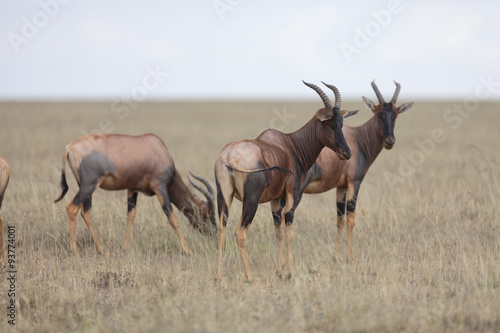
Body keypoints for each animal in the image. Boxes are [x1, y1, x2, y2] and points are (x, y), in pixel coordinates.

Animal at [54, 132, 215, 254]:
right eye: (207, 214)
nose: (212, 234)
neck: (158, 149)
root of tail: (70, 148)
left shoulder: (132, 189)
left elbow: (130, 215)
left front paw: (125, 248)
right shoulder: (160, 187)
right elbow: (172, 217)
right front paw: (188, 250)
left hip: (85, 187)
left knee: (86, 212)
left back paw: (101, 250)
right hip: (89, 185)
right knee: (72, 208)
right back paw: (74, 250)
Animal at [215, 80, 360, 280]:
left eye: (341, 123)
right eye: (329, 123)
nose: (346, 153)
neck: (291, 146)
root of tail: (229, 156)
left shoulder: (276, 199)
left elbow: (279, 232)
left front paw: (280, 271)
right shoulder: (293, 194)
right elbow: (289, 230)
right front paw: (291, 271)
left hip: (224, 197)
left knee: (221, 228)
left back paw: (218, 277)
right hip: (251, 200)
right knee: (240, 232)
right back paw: (250, 278)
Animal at [276, 80, 412, 262]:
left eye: (395, 115)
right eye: (379, 114)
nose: (390, 141)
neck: (358, 138)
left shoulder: (341, 186)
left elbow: (340, 219)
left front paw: (336, 257)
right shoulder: (354, 182)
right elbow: (351, 218)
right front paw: (351, 258)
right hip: (296, 192)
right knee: (285, 217)